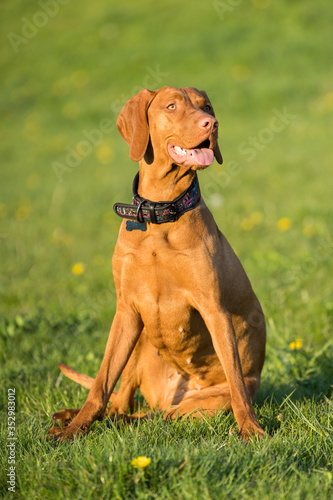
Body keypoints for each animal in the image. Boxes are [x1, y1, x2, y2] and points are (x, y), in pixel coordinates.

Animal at [48, 87, 264, 442]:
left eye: (206, 107)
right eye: (171, 106)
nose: (211, 124)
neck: (159, 214)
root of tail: (168, 394)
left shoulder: (214, 310)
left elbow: (236, 381)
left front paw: (251, 428)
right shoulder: (125, 310)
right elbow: (100, 384)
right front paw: (74, 431)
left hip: (195, 405)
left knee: (151, 417)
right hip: (139, 338)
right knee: (119, 403)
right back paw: (71, 417)